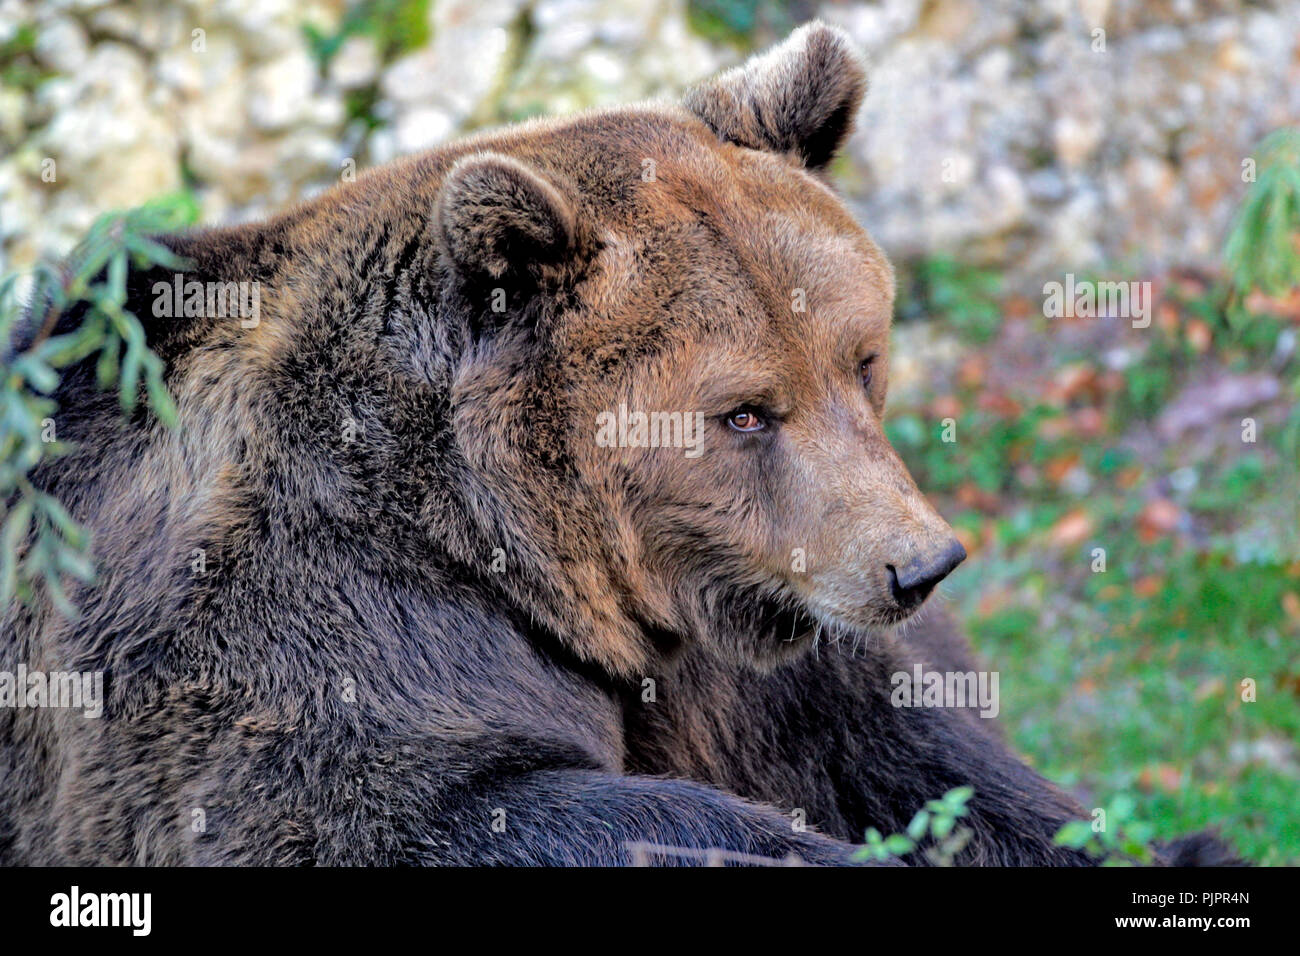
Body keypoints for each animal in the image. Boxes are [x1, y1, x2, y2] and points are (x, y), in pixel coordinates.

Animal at [1, 22, 1231, 866]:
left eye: (861, 359)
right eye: (745, 410)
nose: (917, 564)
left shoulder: (769, 633)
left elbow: (933, 757)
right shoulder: (305, 610)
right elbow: (407, 806)